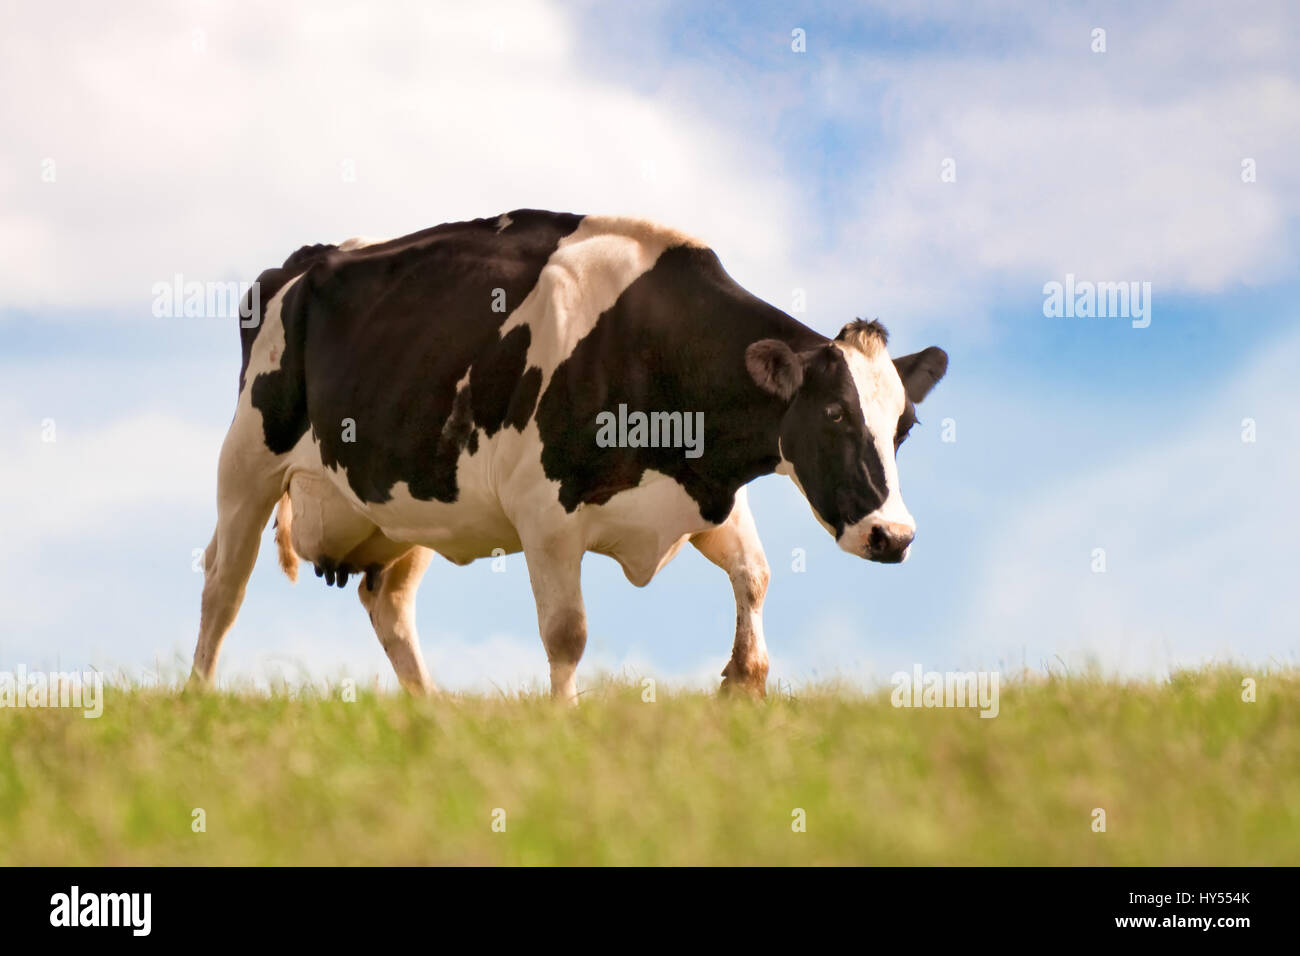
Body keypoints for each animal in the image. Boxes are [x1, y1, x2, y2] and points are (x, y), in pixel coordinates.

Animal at [189, 210, 946, 702]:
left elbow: (754, 579)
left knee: (388, 603)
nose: (895, 536)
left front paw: (742, 685)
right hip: (247, 461)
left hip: (410, 505)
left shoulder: (707, 495)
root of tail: (309, 257)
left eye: (904, 427)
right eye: (835, 414)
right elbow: (567, 634)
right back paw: (197, 700)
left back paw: (431, 717)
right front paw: (563, 725)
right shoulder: (545, 513)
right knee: (223, 587)